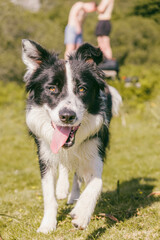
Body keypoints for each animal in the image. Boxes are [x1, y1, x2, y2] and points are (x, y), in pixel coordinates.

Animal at [21, 39, 121, 234]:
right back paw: (62, 189)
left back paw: (74, 196)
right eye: (51, 88)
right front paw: (47, 225)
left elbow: (96, 183)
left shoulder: (96, 148)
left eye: (82, 89)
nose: (67, 116)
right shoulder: (44, 154)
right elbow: (48, 194)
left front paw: (81, 214)